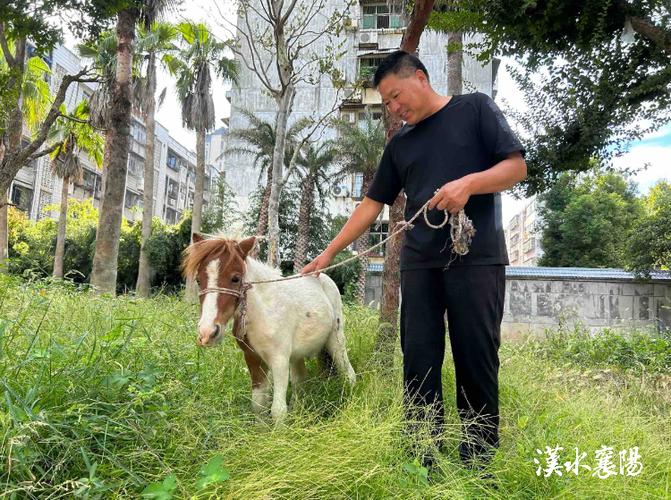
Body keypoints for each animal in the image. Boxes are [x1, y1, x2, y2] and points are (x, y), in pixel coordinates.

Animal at [182, 234, 356, 422]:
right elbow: (258, 405)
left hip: (336, 340)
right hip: (297, 355)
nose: (207, 333)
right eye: (198, 280)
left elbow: (278, 410)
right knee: (300, 381)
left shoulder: (279, 359)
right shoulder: (252, 358)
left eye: (236, 278)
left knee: (348, 373)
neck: (263, 313)